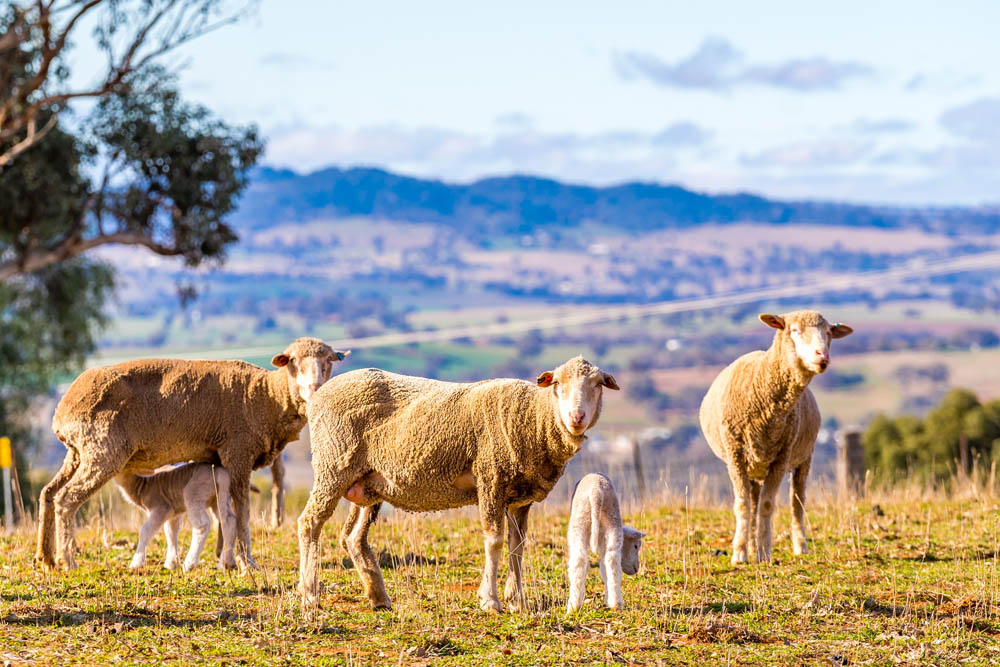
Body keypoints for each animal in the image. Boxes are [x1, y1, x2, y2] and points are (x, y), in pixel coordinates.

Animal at [35, 338, 349, 571]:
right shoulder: (238, 451)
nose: (315, 389)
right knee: (67, 499)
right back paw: (68, 560)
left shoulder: (219, 459)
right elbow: (242, 510)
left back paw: (46, 558)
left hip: (78, 451)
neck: (267, 397)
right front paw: (247, 561)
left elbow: (225, 512)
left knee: (48, 493)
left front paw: (225, 557)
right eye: (293, 361)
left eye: (329, 361)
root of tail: (62, 411)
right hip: (102, 450)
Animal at [297, 356, 620, 613]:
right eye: (558, 384)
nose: (577, 417)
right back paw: (310, 595)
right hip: (332, 464)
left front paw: (518, 601)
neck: (533, 418)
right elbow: (494, 541)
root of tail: (318, 396)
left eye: (597, 385)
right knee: (310, 523)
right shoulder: (491, 478)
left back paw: (378, 597)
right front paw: (490, 600)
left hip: (368, 482)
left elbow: (517, 546)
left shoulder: (521, 498)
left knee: (353, 537)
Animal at [566, 472, 645, 612]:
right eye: (636, 546)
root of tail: (596, 490)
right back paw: (614, 604)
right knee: (609, 561)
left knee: (582, 560)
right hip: (611, 523)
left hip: (579, 522)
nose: (636, 569)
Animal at [699, 310, 852, 564]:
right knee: (753, 500)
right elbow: (743, 505)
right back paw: (750, 545)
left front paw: (764, 551)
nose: (822, 355)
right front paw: (740, 553)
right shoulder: (735, 454)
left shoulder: (782, 456)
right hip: (753, 464)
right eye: (794, 330)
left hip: (804, 457)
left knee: (796, 502)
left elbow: (768, 505)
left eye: (829, 332)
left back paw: (799, 545)